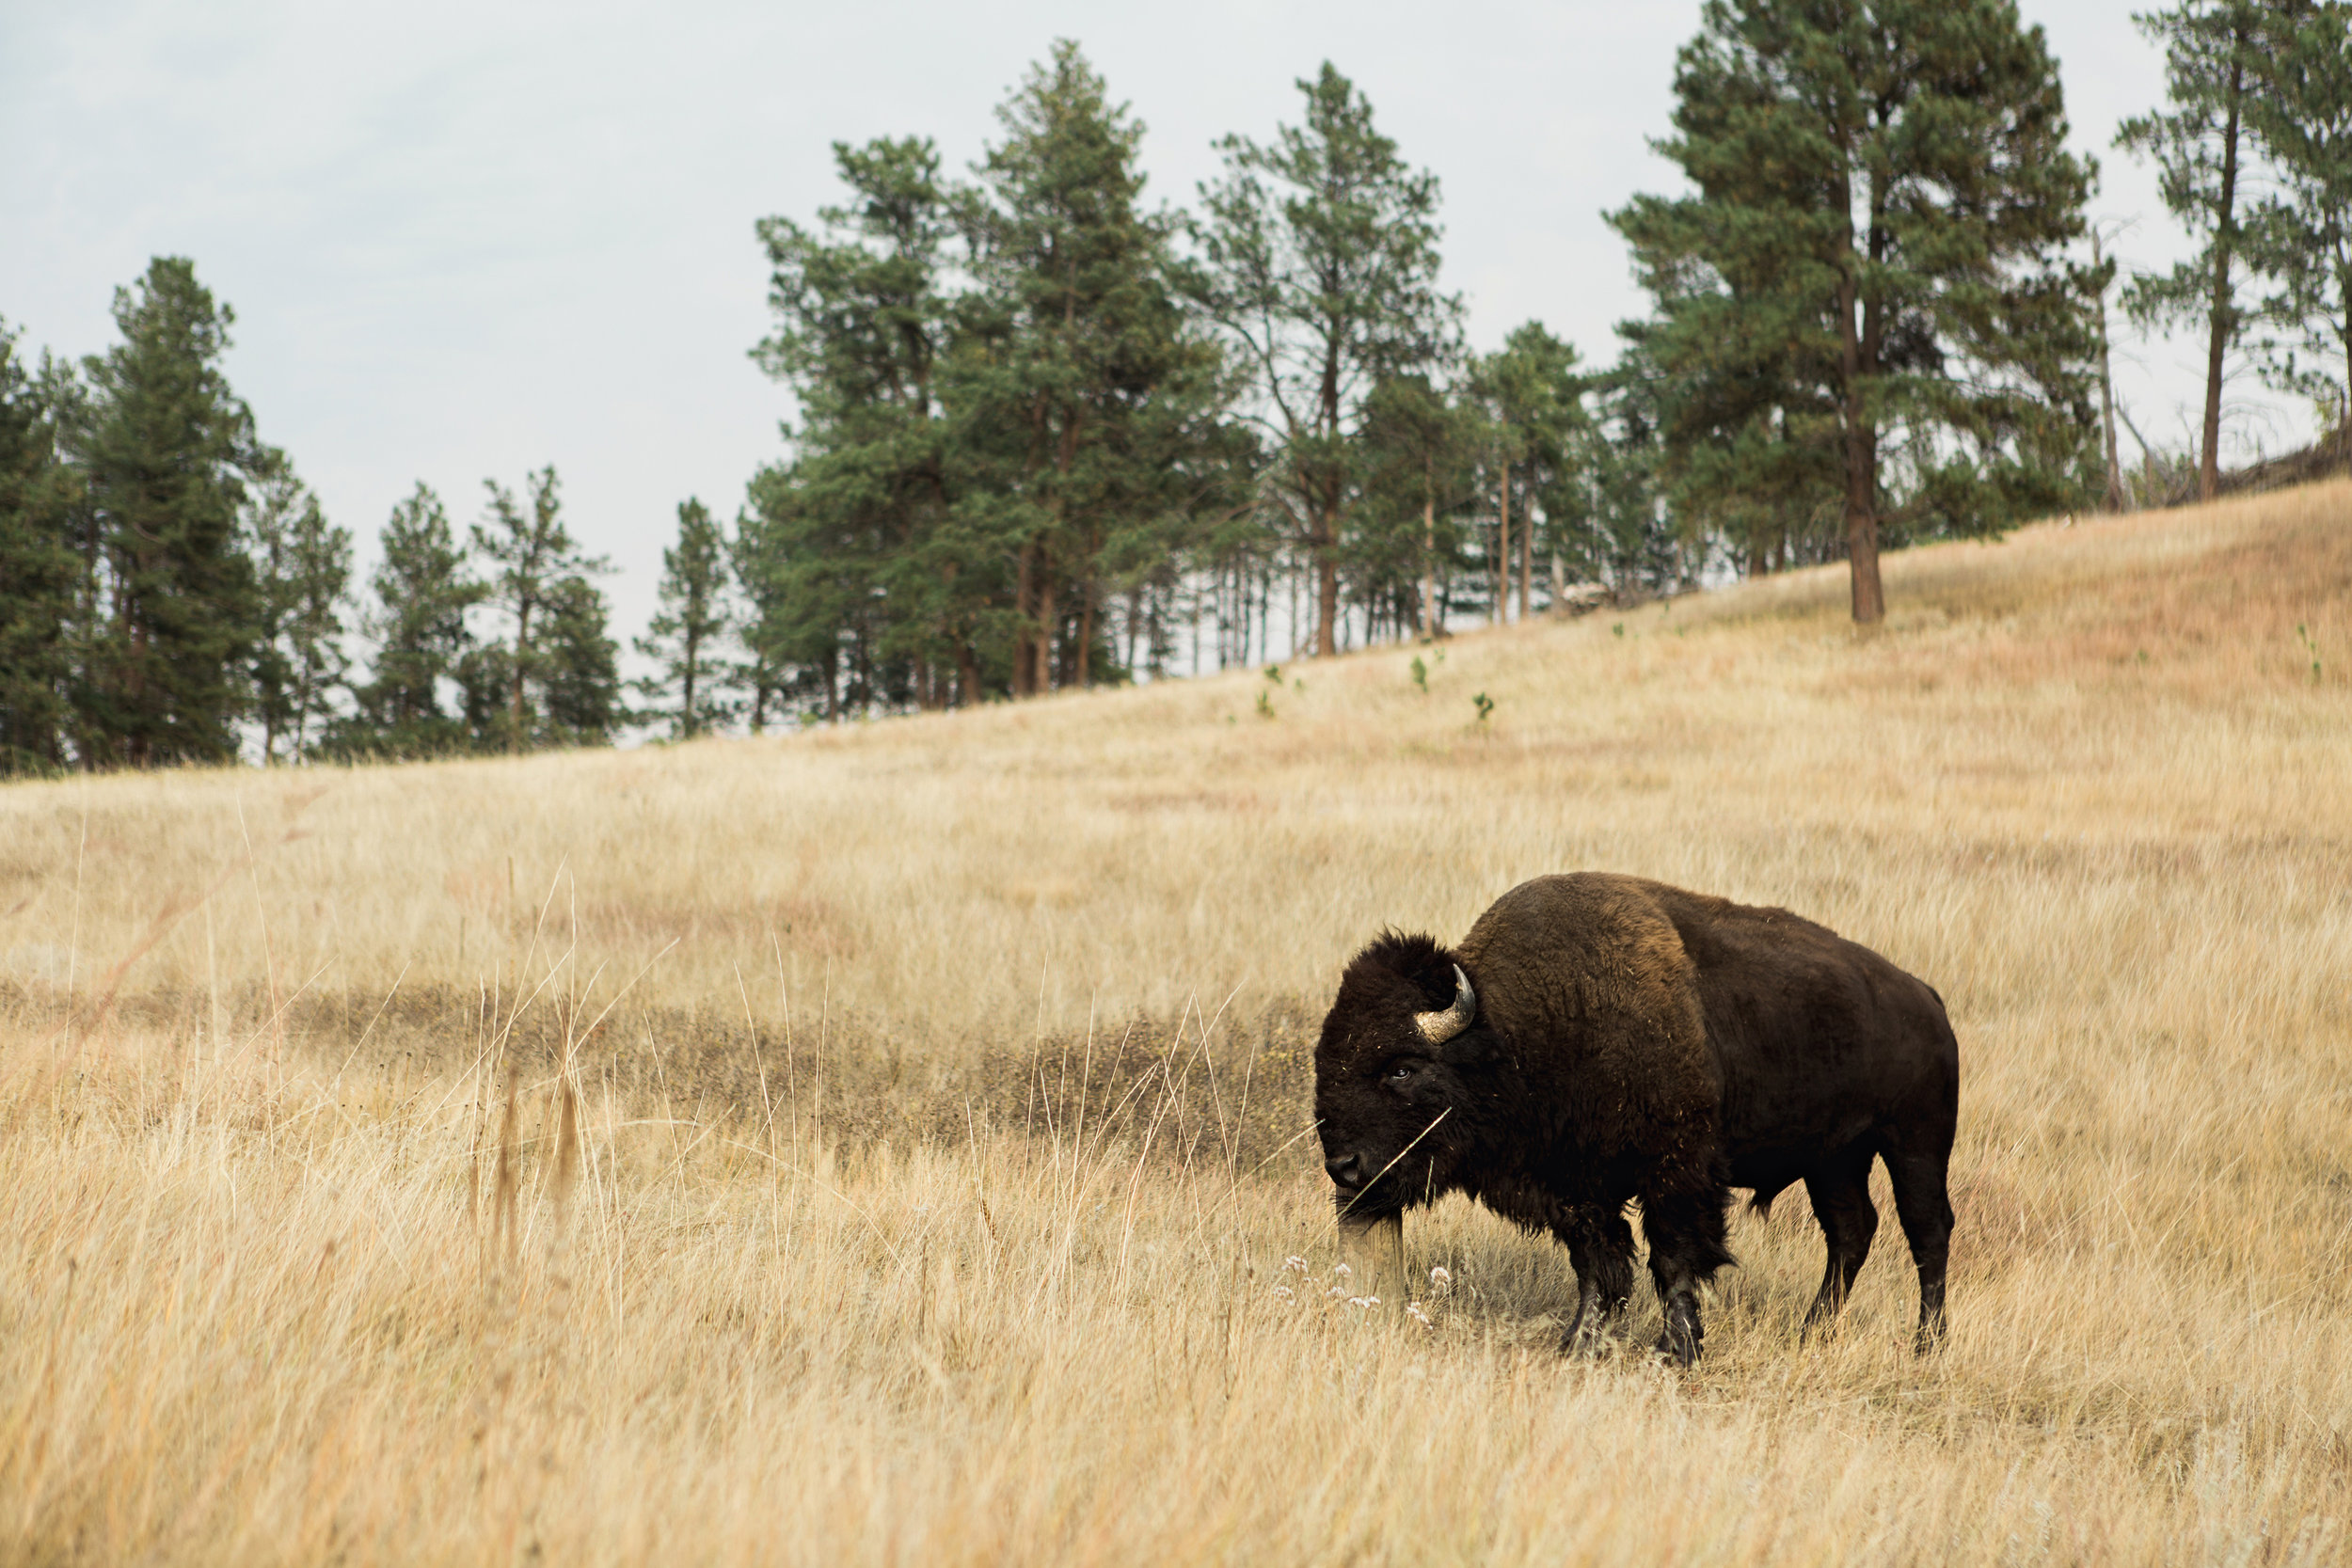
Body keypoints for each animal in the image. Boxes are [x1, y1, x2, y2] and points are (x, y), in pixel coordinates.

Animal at [1317, 879, 1957, 1363]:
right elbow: (1599, 1266)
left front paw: (1676, 1352)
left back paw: (1927, 1345)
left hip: (1915, 1145)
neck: (1523, 1028)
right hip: (1835, 1160)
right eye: (1325, 1061)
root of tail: (1926, 998)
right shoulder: (1575, 1190)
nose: (1343, 1165)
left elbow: (1673, 1258)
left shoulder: (1676, 1172)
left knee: (1927, 1232)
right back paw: (1812, 1332)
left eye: (1402, 1068)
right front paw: (1577, 1344)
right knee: (1852, 1232)